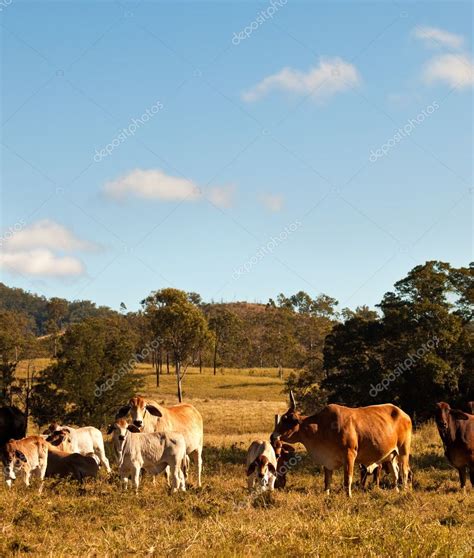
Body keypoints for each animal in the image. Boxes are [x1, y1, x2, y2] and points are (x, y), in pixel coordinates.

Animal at [270, 394, 412, 498]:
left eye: (286, 420)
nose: (273, 437)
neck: (322, 426)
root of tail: (404, 414)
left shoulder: (350, 454)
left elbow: (347, 478)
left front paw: (348, 496)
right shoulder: (327, 459)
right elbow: (327, 480)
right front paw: (326, 494)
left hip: (403, 451)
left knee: (404, 472)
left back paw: (404, 491)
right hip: (391, 456)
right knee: (395, 472)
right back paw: (396, 491)